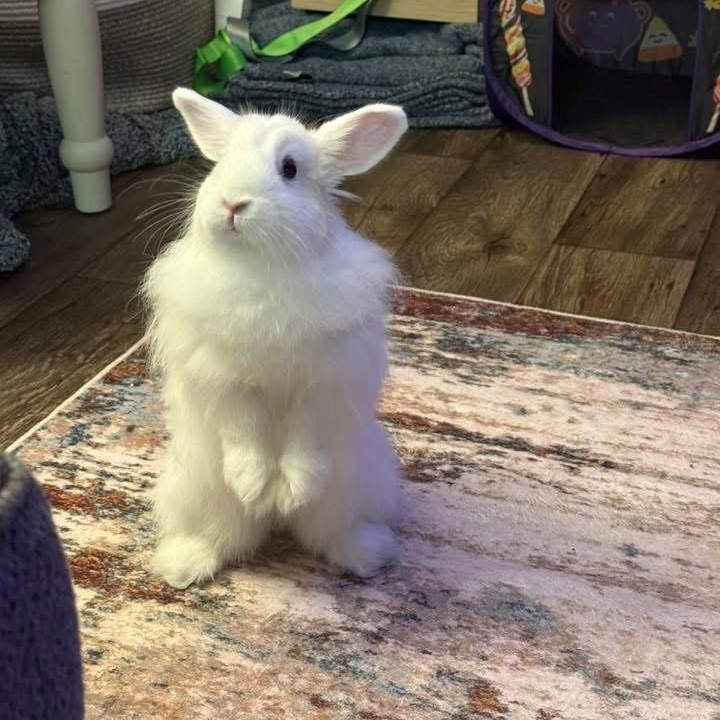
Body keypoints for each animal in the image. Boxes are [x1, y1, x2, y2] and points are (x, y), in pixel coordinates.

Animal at [142, 88, 408, 589]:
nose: (232, 204)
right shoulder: (225, 381)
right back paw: (186, 563)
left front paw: (291, 490)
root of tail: (278, 529)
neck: (262, 267)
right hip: (196, 488)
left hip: (356, 484)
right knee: (221, 534)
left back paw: (362, 553)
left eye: (289, 168)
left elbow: (305, 438)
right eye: (221, 162)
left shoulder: (323, 382)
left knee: (331, 529)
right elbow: (244, 435)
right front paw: (254, 486)